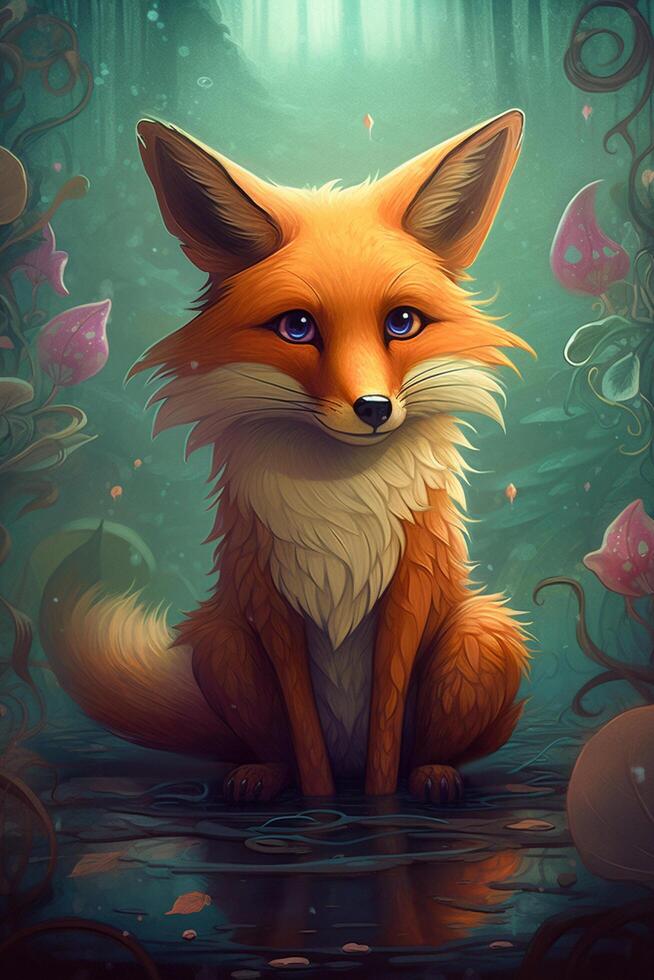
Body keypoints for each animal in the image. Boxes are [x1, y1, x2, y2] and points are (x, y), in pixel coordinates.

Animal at [41, 109, 532, 804]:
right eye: (297, 328)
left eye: (402, 323)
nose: (374, 408)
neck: (342, 501)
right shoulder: (270, 599)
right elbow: (304, 735)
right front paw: (321, 803)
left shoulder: (408, 590)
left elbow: (387, 734)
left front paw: (380, 805)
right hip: (222, 646)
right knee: (267, 745)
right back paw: (260, 777)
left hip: (483, 635)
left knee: (431, 747)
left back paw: (433, 775)